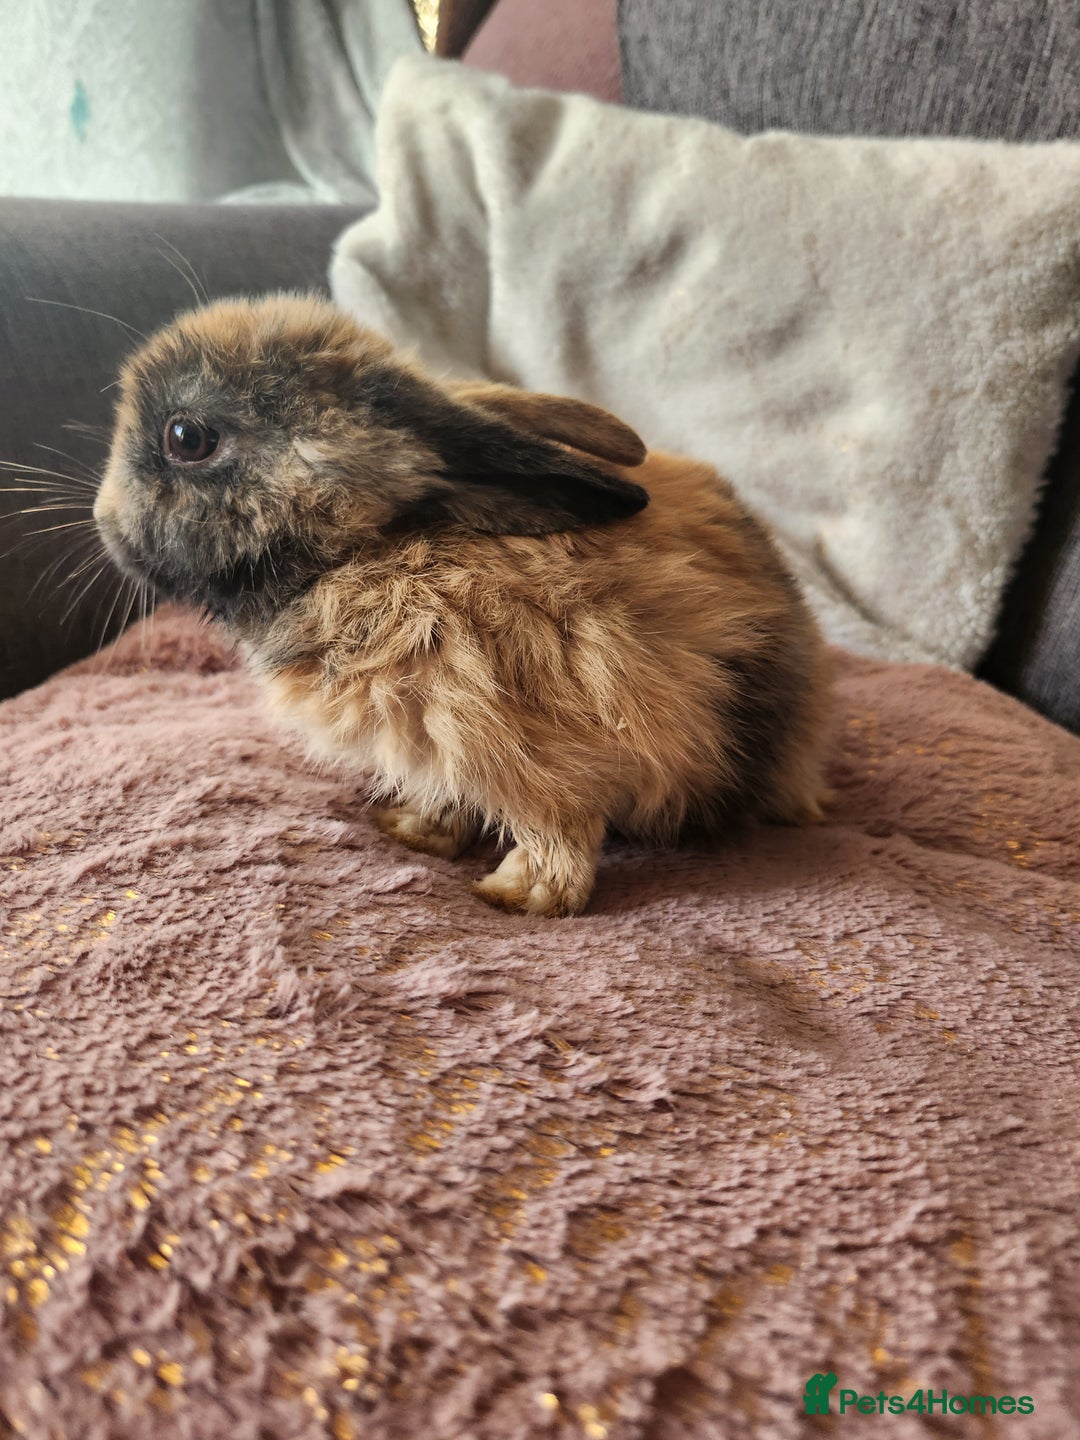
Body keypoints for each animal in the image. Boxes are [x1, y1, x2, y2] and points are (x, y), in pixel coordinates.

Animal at [94, 293, 832, 917]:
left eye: (186, 438)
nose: (103, 521)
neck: (377, 548)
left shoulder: (534, 744)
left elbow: (558, 830)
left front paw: (519, 895)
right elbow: (448, 794)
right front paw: (412, 830)